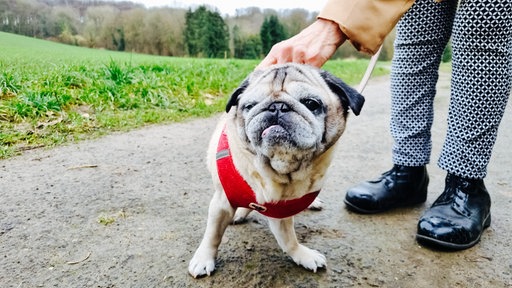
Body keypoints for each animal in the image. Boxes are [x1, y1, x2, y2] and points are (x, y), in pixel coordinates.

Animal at [188, 63, 364, 280]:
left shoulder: (281, 211)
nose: (277, 106)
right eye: (250, 106)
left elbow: (288, 240)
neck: (276, 171)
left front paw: (302, 255)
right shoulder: (221, 202)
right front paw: (204, 258)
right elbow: (212, 235)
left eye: (311, 103)